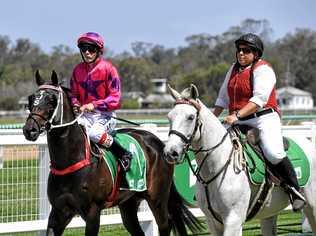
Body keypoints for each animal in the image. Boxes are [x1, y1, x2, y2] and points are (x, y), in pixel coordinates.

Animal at [22, 70, 202, 236]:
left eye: (51, 100)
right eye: (31, 99)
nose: (29, 130)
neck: (71, 160)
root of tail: (158, 142)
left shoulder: (93, 212)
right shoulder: (59, 212)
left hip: (157, 198)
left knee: (166, 225)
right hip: (129, 203)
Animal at [164, 84, 316, 235]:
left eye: (190, 117)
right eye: (169, 117)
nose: (170, 152)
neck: (217, 165)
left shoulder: (233, 220)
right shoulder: (212, 222)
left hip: (312, 207)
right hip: (269, 213)